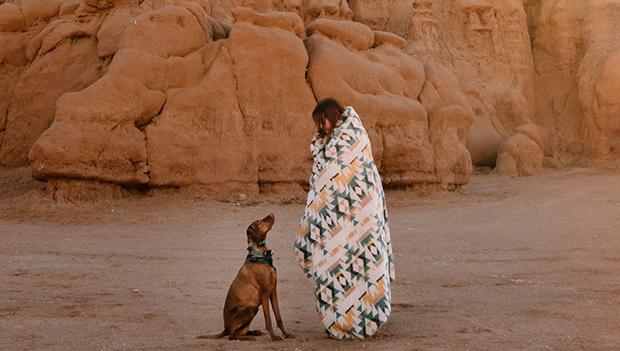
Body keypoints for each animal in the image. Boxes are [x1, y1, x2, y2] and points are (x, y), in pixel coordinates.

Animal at [200, 213, 294, 342]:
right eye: (258, 222)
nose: (272, 214)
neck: (260, 255)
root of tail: (225, 328)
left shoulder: (273, 292)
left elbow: (279, 317)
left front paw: (287, 334)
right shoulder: (264, 295)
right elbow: (268, 320)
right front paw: (274, 337)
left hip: (253, 309)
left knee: (238, 333)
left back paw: (254, 332)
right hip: (250, 309)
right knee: (232, 336)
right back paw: (248, 337)